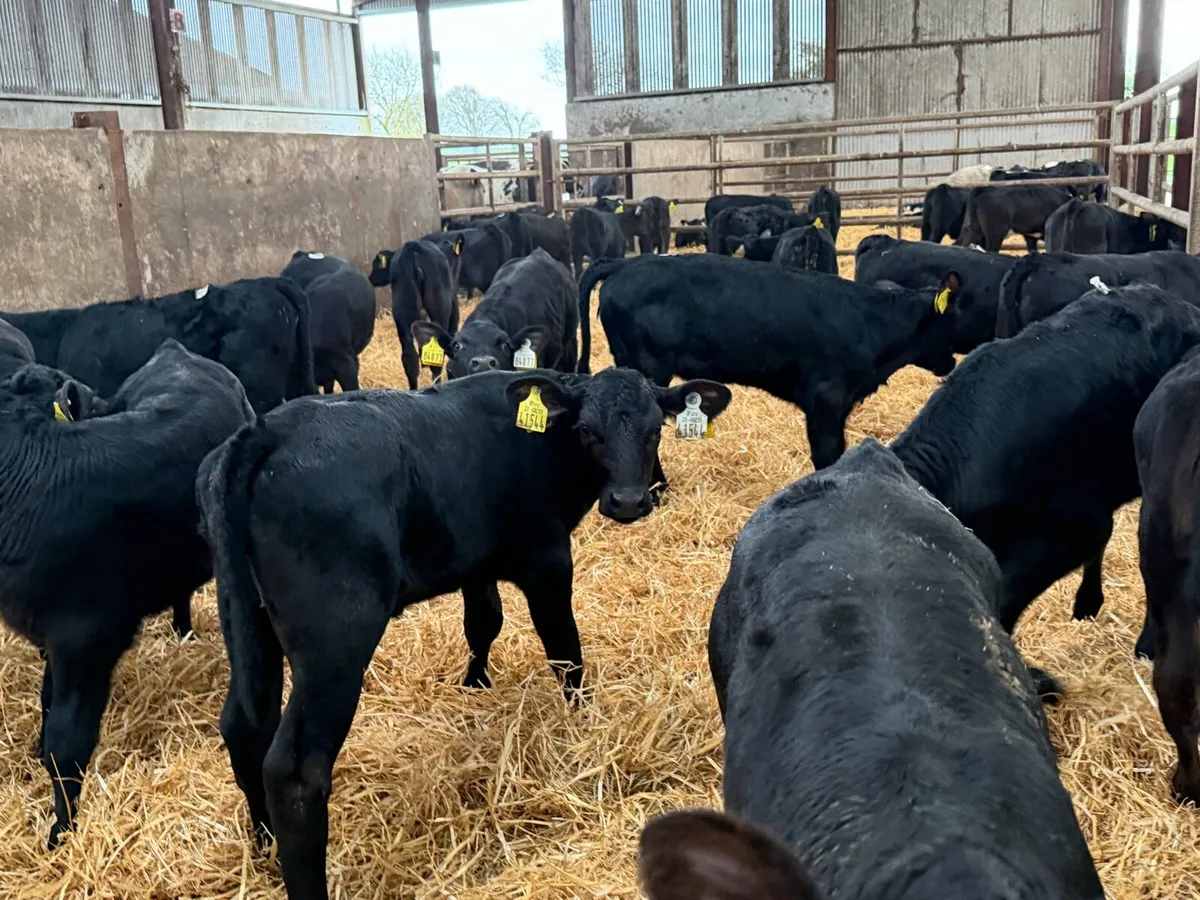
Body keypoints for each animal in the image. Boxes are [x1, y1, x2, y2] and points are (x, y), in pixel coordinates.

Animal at [0, 340, 252, 846]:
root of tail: (178, 352)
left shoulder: (86, 639)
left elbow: (67, 743)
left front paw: (61, 834)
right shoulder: (52, 638)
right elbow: (47, 703)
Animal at [199, 366, 732, 900]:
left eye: (655, 430)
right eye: (587, 431)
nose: (628, 501)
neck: (539, 442)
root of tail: (267, 429)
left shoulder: (477, 564)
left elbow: (483, 623)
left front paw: (475, 685)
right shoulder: (547, 559)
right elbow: (564, 648)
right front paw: (581, 719)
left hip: (248, 623)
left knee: (244, 726)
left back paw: (265, 848)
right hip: (335, 643)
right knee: (294, 774)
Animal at [578, 253, 960, 469]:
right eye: (953, 319)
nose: (953, 363)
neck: (870, 321)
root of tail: (626, 262)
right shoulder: (825, 400)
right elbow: (827, 453)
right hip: (645, 366)